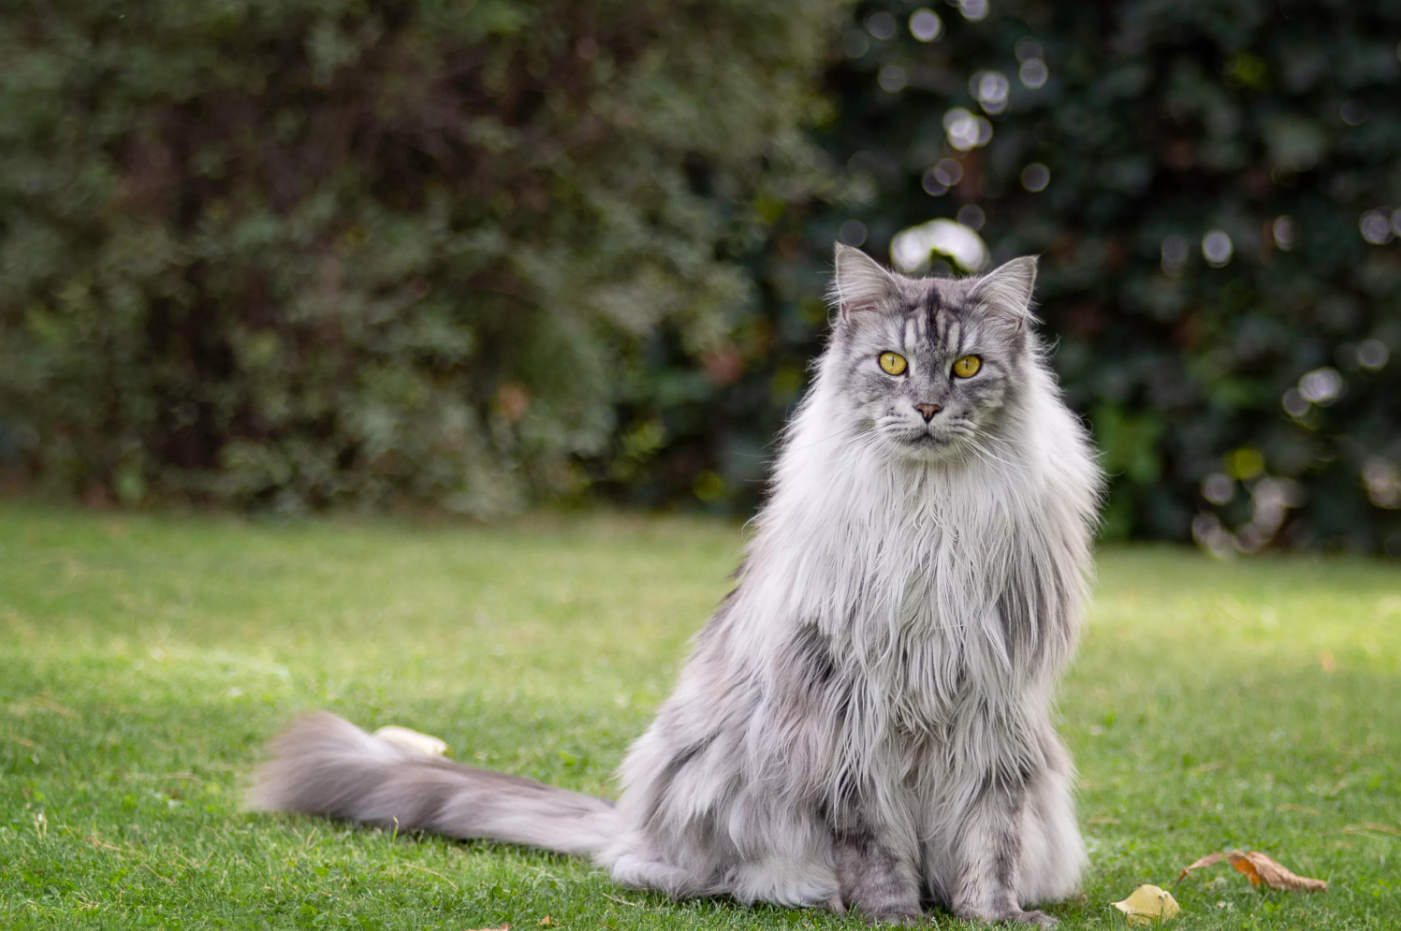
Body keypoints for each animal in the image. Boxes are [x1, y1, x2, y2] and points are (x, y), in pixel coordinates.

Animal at [252, 243, 1103, 924]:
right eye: (892, 363)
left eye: (965, 367)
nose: (926, 407)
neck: (931, 520)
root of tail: (630, 820)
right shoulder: (843, 708)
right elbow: (875, 841)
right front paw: (892, 914)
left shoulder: (994, 707)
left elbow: (987, 836)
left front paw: (994, 914)